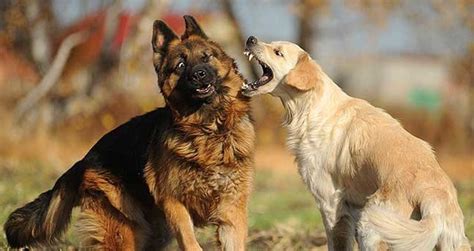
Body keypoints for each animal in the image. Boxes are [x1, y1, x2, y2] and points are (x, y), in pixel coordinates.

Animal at [4, 16, 256, 251]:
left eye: (206, 57)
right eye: (181, 66)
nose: (199, 75)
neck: (210, 131)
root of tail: (82, 161)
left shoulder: (231, 214)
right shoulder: (175, 205)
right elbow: (191, 243)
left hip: (155, 233)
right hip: (124, 232)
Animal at [243, 35, 472, 251]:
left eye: (278, 52)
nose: (251, 39)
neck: (312, 107)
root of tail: (434, 198)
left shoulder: (329, 202)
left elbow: (336, 241)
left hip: (370, 225)